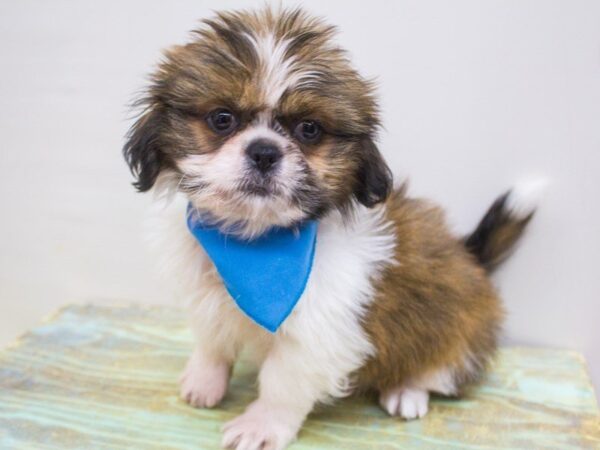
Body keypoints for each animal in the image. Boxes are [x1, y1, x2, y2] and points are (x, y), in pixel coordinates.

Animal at [123, 7, 536, 450]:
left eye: (309, 129)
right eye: (222, 119)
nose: (264, 151)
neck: (254, 242)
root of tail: (470, 257)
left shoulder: (320, 330)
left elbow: (282, 381)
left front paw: (262, 424)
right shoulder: (204, 297)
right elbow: (211, 338)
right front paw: (204, 379)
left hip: (457, 328)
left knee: (439, 366)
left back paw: (406, 389)